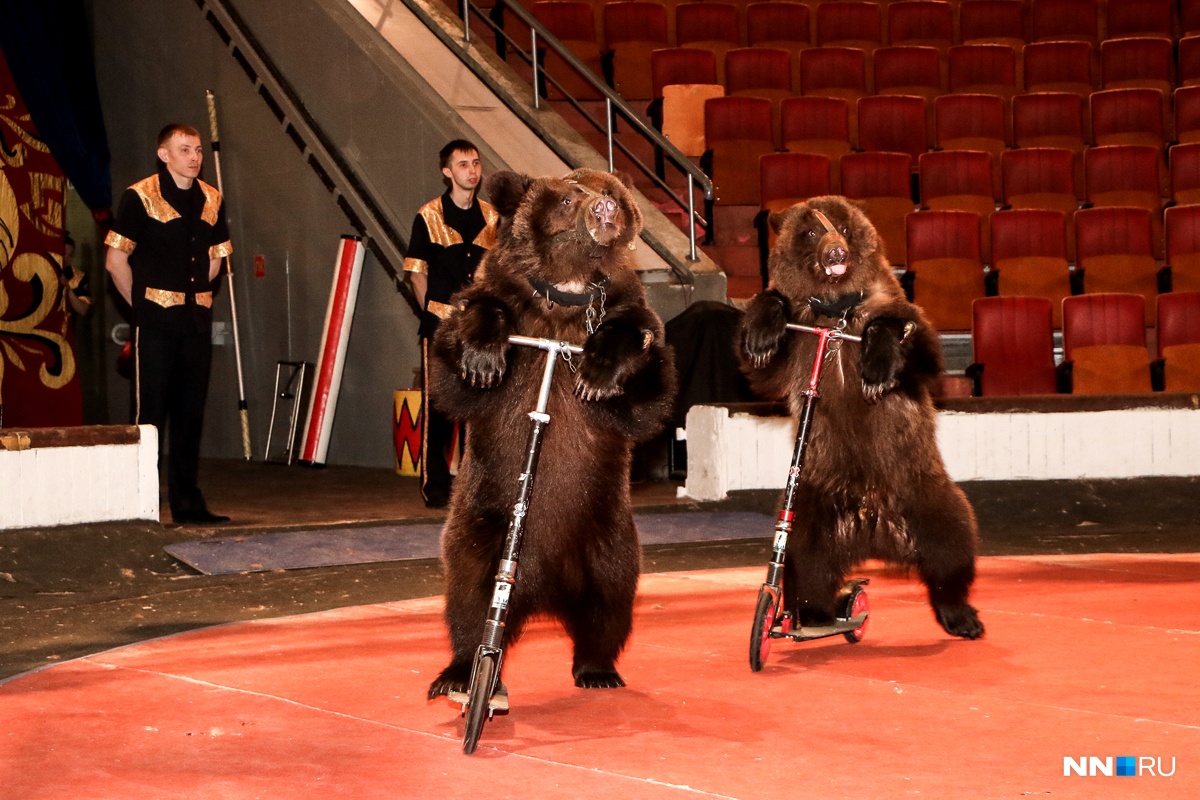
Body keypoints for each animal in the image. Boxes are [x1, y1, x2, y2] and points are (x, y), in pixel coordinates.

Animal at [427, 169, 681, 700]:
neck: (566, 292)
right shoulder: (504, 292)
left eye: (609, 191)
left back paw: (598, 668)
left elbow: (647, 392)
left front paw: (599, 373)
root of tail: (540, 593)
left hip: (606, 531)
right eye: (568, 196)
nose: (604, 207)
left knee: (611, 601)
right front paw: (482, 355)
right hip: (482, 523)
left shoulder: (627, 306)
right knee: (468, 598)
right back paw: (460, 672)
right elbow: (457, 367)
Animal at [739, 196, 984, 642]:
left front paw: (876, 365)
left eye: (845, 227)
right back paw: (815, 611)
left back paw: (960, 615)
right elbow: (760, 368)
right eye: (811, 230)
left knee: (952, 540)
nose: (837, 251)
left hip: (918, 486)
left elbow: (916, 348)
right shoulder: (800, 338)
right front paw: (762, 334)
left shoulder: (893, 306)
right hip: (816, 499)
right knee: (807, 558)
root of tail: (873, 523)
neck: (836, 312)